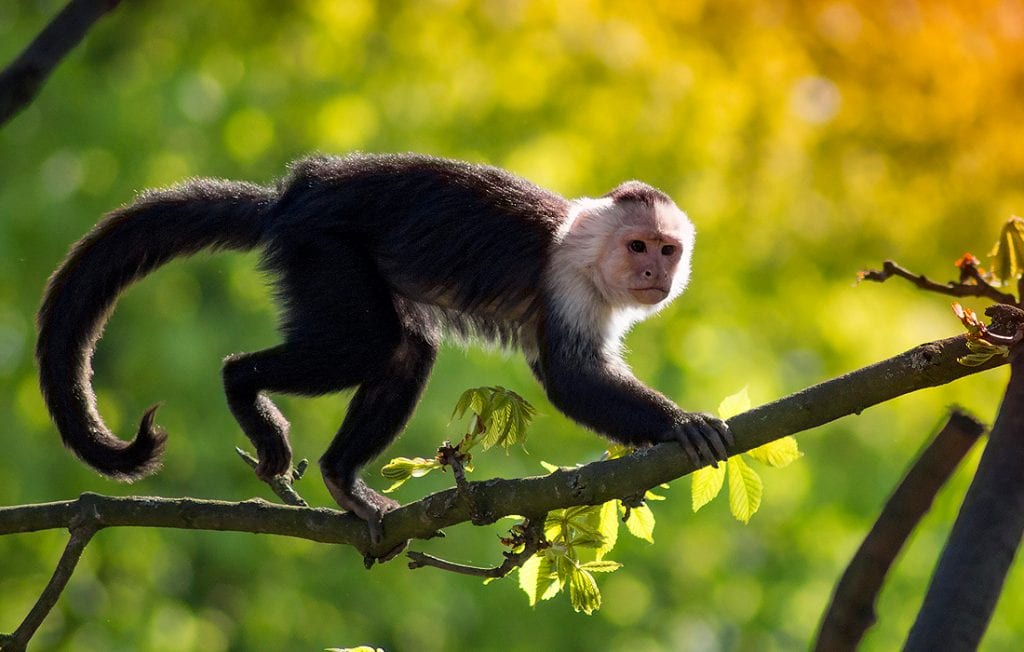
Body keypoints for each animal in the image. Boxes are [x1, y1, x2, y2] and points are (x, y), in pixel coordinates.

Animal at [36, 152, 733, 544]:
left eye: (667, 249)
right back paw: (243, 385)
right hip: (323, 248)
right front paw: (681, 424)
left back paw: (341, 477)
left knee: (405, 351)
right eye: (637, 246)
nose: (655, 272)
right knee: (369, 345)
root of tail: (289, 196)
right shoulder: (569, 281)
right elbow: (570, 378)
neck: (589, 251)